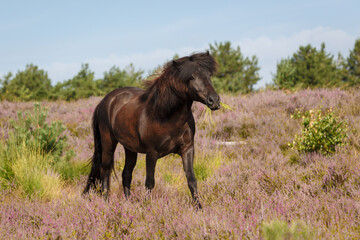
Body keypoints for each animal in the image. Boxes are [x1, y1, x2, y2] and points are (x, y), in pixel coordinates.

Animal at [83, 51, 219, 208]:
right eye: (191, 77)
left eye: (209, 75)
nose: (214, 100)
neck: (166, 116)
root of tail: (105, 101)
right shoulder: (151, 153)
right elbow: (149, 183)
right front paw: (148, 207)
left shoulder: (187, 149)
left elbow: (191, 179)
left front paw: (199, 208)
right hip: (108, 143)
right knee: (105, 171)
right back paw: (106, 202)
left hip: (130, 148)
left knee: (126, 174)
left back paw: (128, 203)